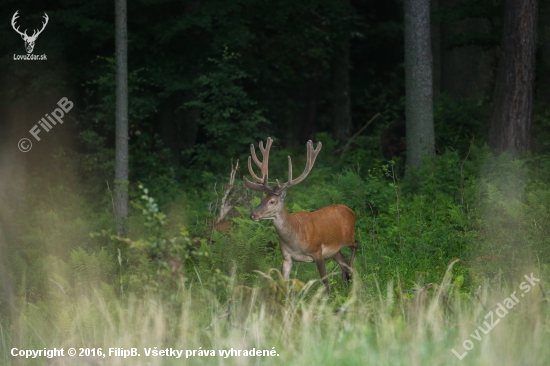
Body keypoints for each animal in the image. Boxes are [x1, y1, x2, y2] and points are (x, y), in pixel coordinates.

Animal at [245, 137, 358, 294]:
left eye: (272, 201)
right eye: (262, 199)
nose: (253, 215)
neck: (295, 239)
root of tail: (349, 210)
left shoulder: (317, 251)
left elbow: (325, 280)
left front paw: (328, 296)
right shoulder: (287, 257)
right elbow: (282, 283)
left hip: (349, 236)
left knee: (355, 247)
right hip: (335, 251)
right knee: (344, 262)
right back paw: (346, 283)